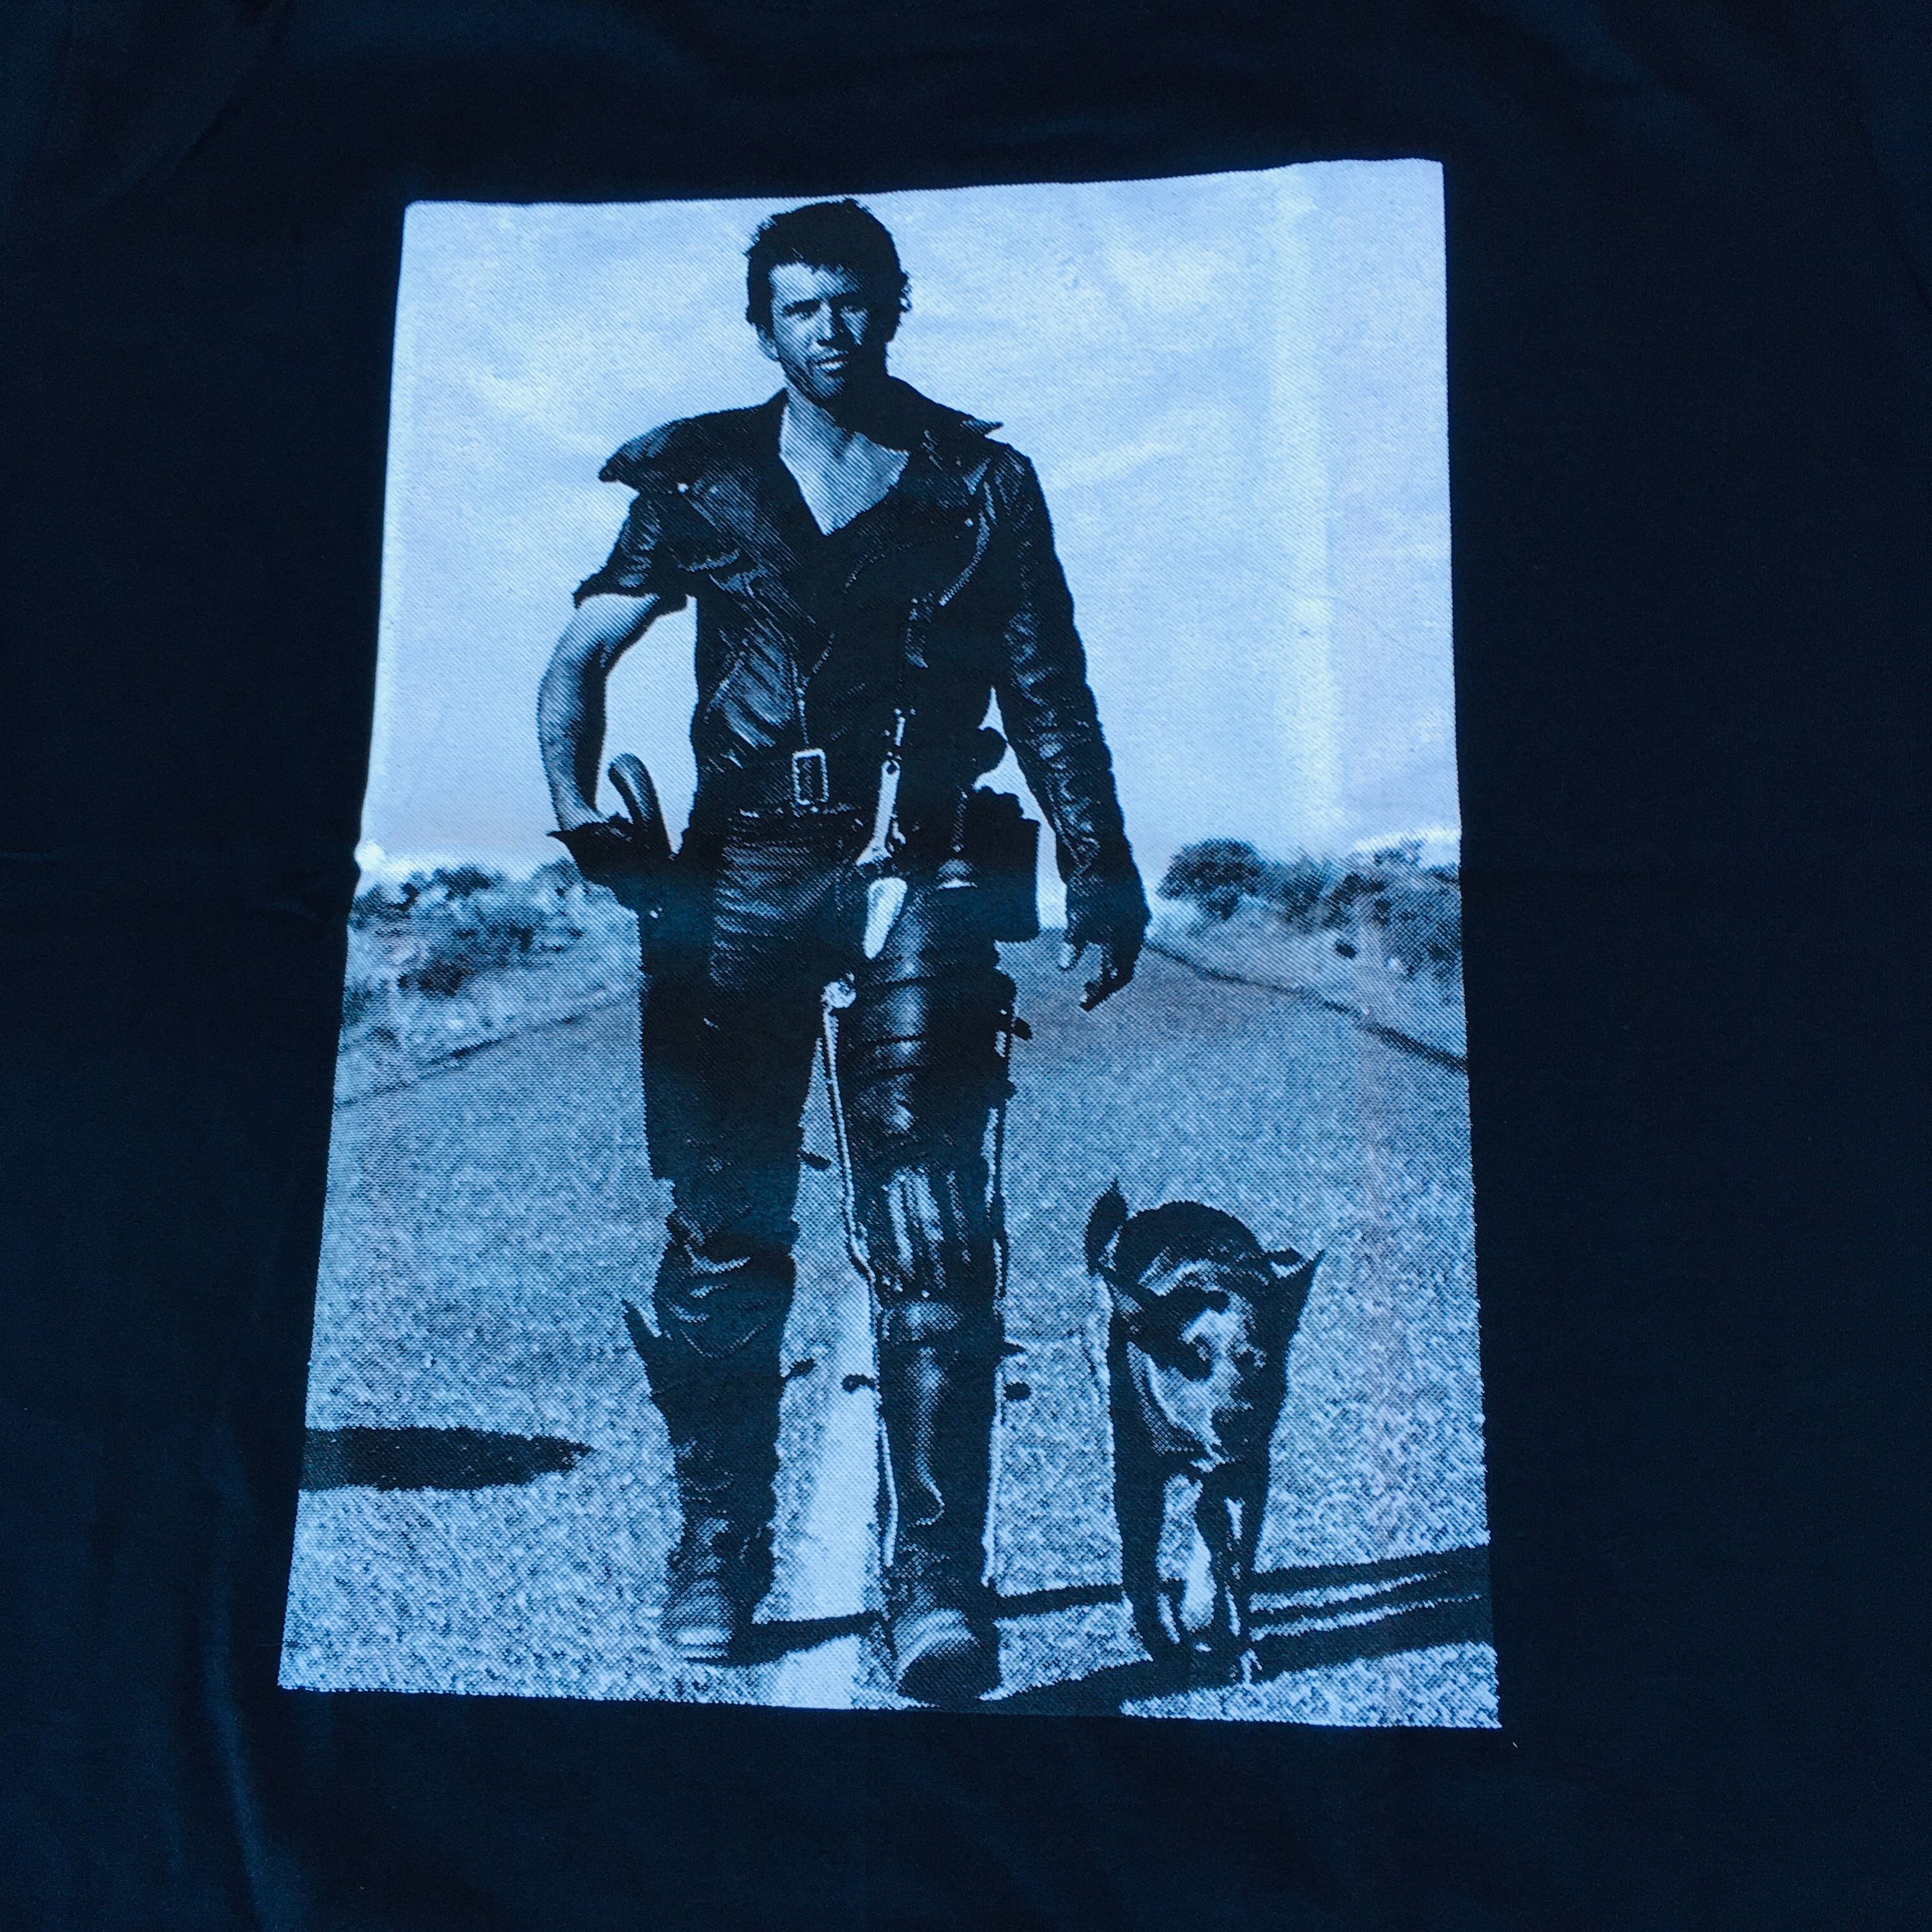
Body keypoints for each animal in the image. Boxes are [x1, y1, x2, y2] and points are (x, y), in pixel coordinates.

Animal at [1085, 1183, 1320, 1678]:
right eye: (1191, 1359)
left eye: (1257, 1360)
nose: (1233, 1418)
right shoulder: (1138, 1472)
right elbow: (1141, 1559)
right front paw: (1160, 1641)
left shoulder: (1249, 1472)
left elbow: (1235, 1563)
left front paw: (1234, 1642)